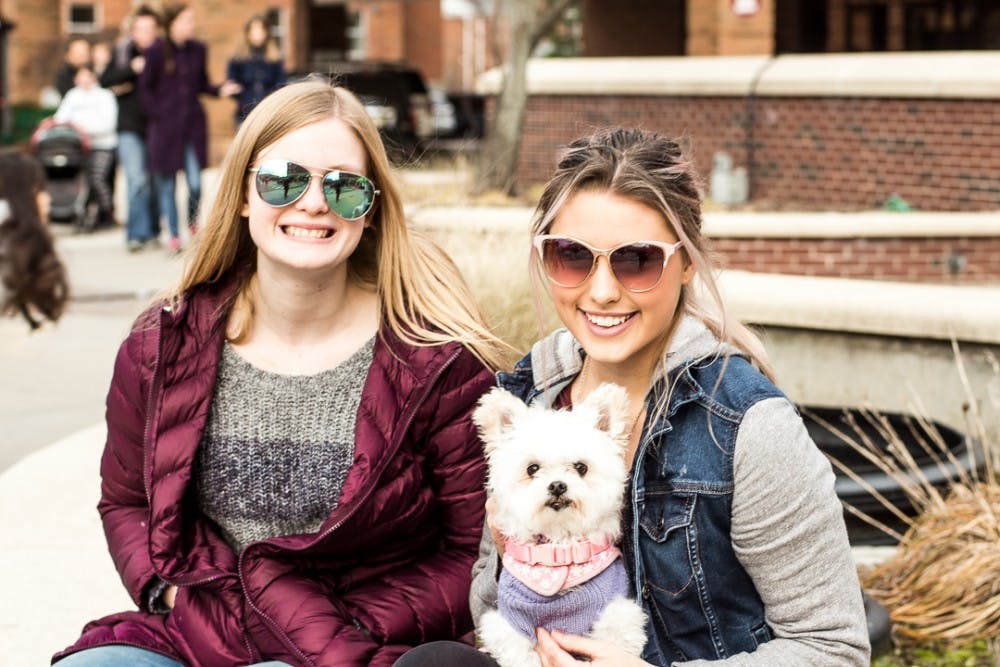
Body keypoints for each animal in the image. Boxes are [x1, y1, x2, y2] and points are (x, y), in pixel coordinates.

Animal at [470, 384, 644, 664]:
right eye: (532, 469)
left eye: (581, 467)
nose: (557, 485)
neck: (560, 550)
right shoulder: (507, 625)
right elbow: (521, 656)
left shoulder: (618, 611)